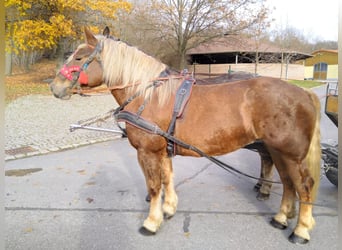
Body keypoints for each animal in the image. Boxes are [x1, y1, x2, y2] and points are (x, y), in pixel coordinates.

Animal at [50, 27, 320, 244]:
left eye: (79, 57)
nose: (54, 87)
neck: (147, 94)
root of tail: (304, 93)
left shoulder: (147, 152)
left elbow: (154, 186)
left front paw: (152, 222)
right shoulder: (163, 150)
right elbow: (167, 178)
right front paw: (169, 208)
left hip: (290, 153)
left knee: (303, 186)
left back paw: (301, 230)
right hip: (279, 151)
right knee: (288, 183)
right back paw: (281, 217)